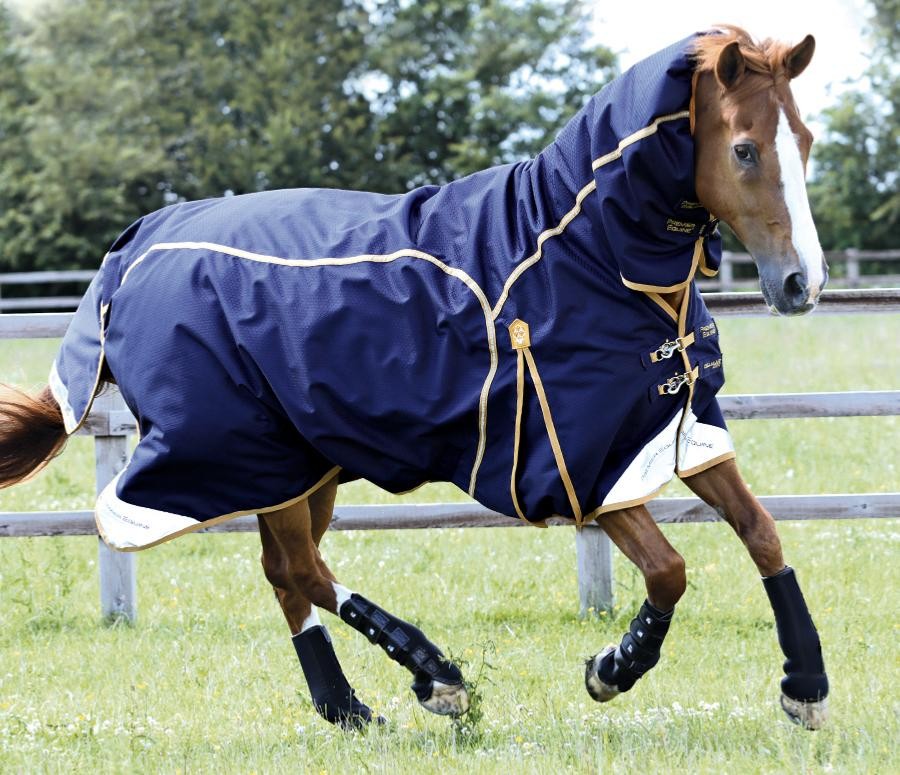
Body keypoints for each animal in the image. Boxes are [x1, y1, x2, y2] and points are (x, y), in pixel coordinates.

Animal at [0, 27, 830, 731]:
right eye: (746, 149)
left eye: (807, 140)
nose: (802, 283)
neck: (593, 255)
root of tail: (138, 247)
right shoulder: (577, 462)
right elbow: (670, 568)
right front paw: (613, 666)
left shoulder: (673, 425)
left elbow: (761, 532)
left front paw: (805, 686)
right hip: (241, 451)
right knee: (300, 567)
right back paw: (436, 673)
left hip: (295, 464)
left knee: (286, 571)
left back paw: (348, 705)